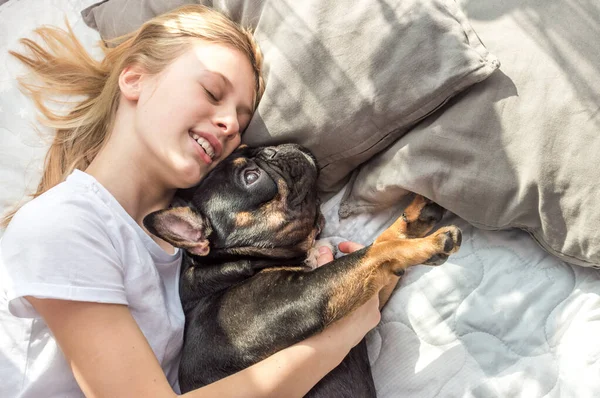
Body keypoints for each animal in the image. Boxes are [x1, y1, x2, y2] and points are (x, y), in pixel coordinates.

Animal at [143, 145, 462, 396]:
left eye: (248, 148)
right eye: (251, 177)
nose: (271, 149)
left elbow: (379, 246)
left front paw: (415, 217)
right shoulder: (310, 297)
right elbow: (373, 253)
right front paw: (429, 243)